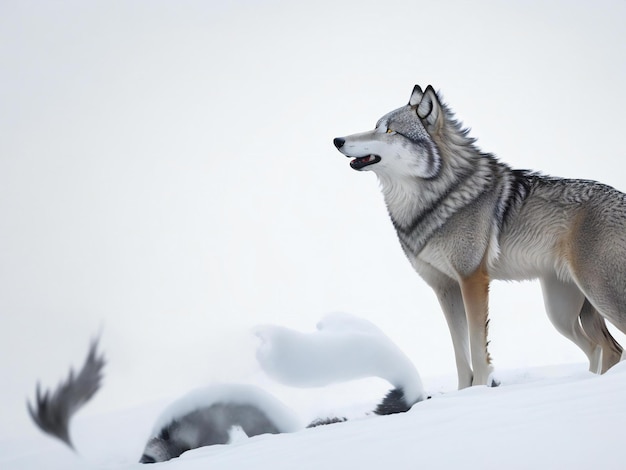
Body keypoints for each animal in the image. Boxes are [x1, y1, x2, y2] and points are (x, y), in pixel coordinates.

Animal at [334, 85, 620, 390]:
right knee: (602, 348)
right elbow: (460, 354)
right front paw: (464, 392)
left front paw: (481, 388)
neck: (437, 198)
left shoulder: (472, 279)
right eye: (376, 126)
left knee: (610, 348)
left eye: (389, 131)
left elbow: (476, 346)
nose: (337, 140)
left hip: (597, 297)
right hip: (561, 314)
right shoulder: (444, 287)